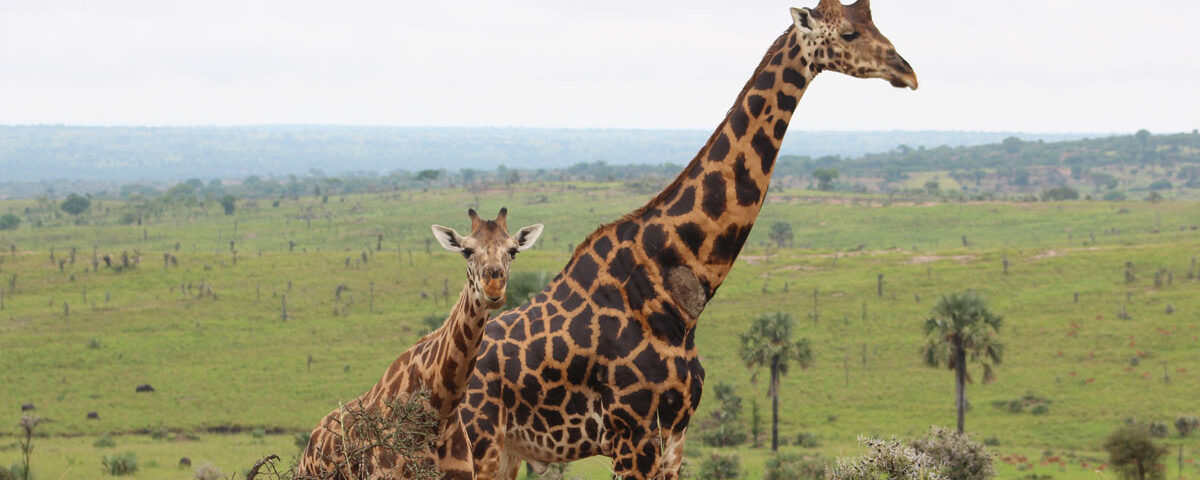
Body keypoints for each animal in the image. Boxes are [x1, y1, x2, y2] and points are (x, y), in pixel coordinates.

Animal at [455, 2, 917, 479]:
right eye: (848, 34)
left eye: (876, 23)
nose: (907, 72)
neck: (679, 290)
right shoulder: (632, 435)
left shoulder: (675, 434)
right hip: (478, 442)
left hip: (507, 451)